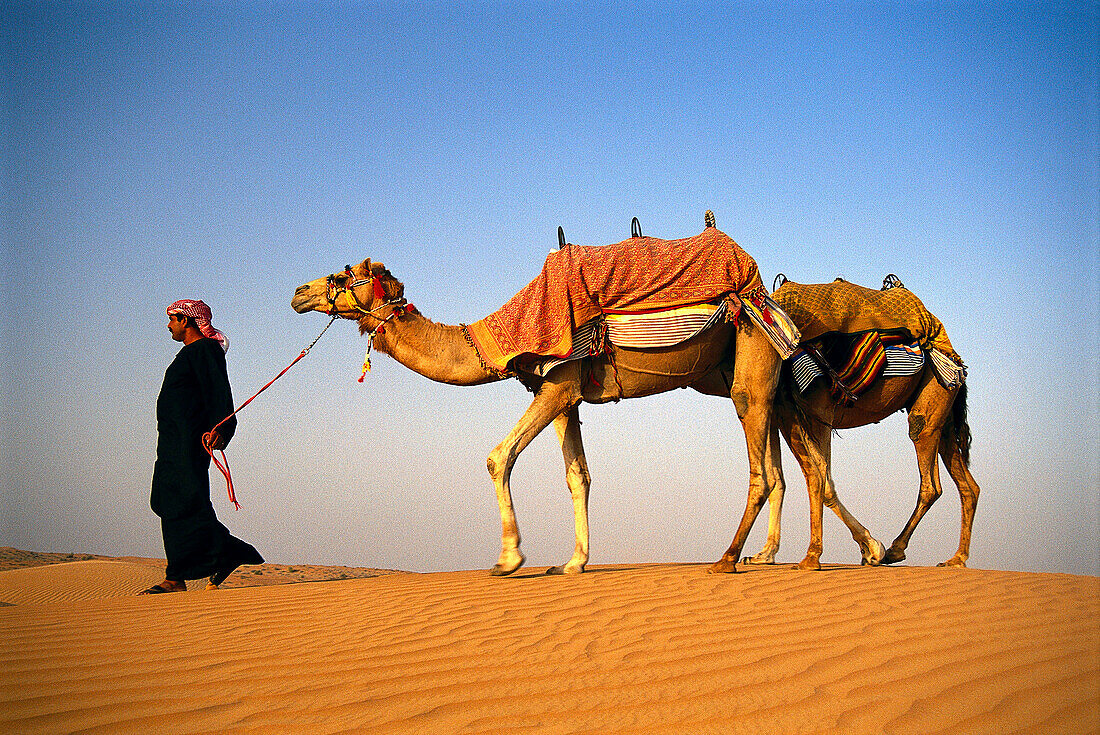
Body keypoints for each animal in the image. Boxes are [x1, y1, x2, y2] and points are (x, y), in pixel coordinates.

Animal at [292, 258, 783, 572]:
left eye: (343, 274)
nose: (298, 292)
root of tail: (763, 288)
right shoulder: (566, 394)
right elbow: (578, 476)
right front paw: (573, 563)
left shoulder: (559, 380)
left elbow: (498, 456)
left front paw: (509, 557)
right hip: (732, 370)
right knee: (775, 455)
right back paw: (767, 556)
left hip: (750, 344)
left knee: (757, 455)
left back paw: (727, 559)